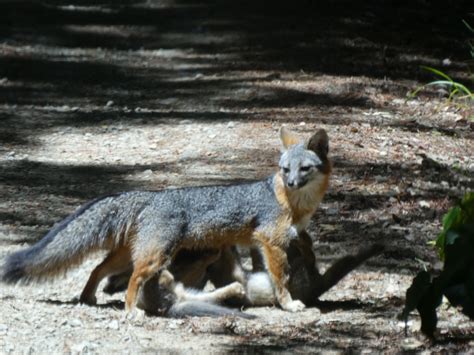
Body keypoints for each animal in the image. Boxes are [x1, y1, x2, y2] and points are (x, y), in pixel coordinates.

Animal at [1, 126, 332, 312]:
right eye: (285, 169)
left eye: (303, 169)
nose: (291, 183)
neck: (292, 203)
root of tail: (151, 196)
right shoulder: (270, 241)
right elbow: (282, 278)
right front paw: (289, 304)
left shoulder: (274, 238)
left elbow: (299, 246)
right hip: (155, 257)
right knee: (132, 280)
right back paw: (131, 312)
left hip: (130, 255)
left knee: (97, 269)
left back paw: (88, 298)